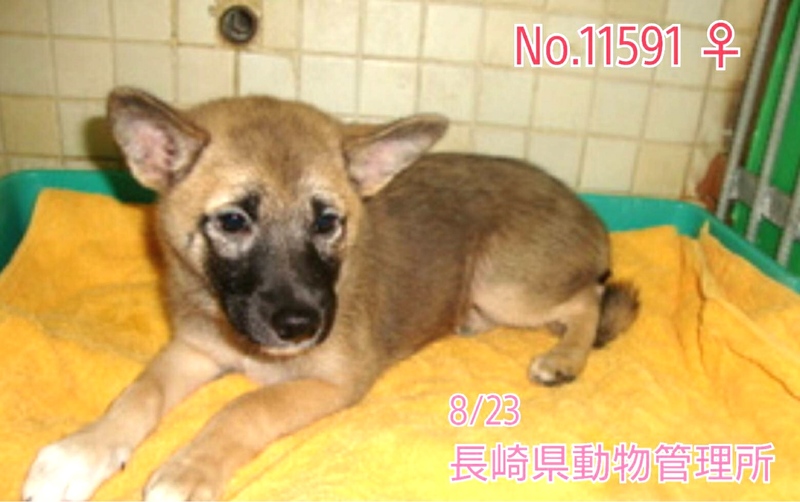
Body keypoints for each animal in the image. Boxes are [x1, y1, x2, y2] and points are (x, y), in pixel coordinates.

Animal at [23, 87, 639, 501]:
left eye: (327, 223)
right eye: (233, 220)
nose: (302, 327)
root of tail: (589, 214)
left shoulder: (333, 381)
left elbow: (246, 407)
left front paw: (189, 469)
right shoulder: (194, 350)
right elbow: (139, 393)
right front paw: (83, 451)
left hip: (506, 283)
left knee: (587, 300)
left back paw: (564, 358)